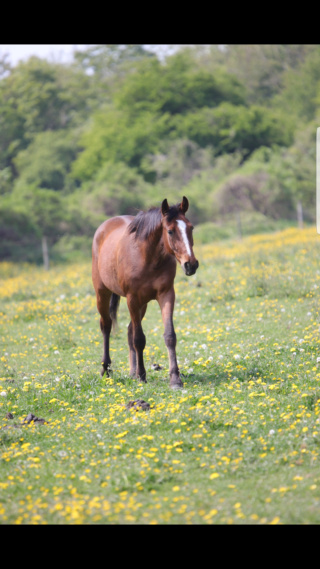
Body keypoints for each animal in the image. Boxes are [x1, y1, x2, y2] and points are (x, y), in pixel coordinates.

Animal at [91, 195, 199, 386]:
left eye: (190, 227)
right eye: (170, 231)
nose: (191, 264)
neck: (147, 257)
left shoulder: (166, 294)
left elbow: (169, 336)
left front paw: (175, 379)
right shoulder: (132, 299)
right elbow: (139, 339)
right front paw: (142, 375)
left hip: (143, 304)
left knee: (128, 330)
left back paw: (132, 372)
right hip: (102, 293)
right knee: (106, 326)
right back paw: (106, 370)